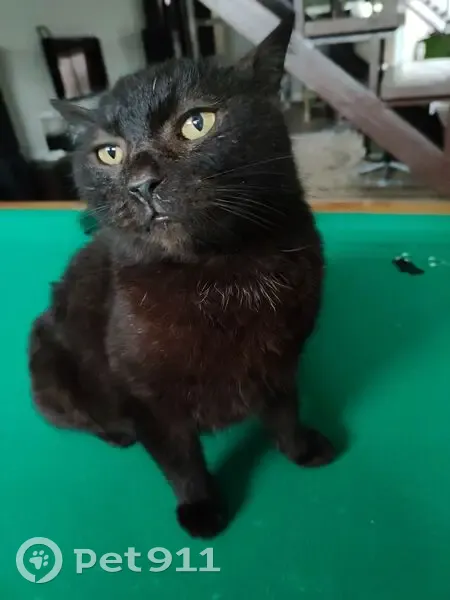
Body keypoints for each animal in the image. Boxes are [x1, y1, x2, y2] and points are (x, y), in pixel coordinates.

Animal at [28, 16, 335, 539]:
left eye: (197, 123)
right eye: (109, 153)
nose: (141, 184)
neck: (221, 278)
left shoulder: (281, 361)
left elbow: (285, 411)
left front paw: (300, 449)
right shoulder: (146, 399)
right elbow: (179, 459)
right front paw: (201, 508)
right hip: (46, 368)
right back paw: (117, 435)